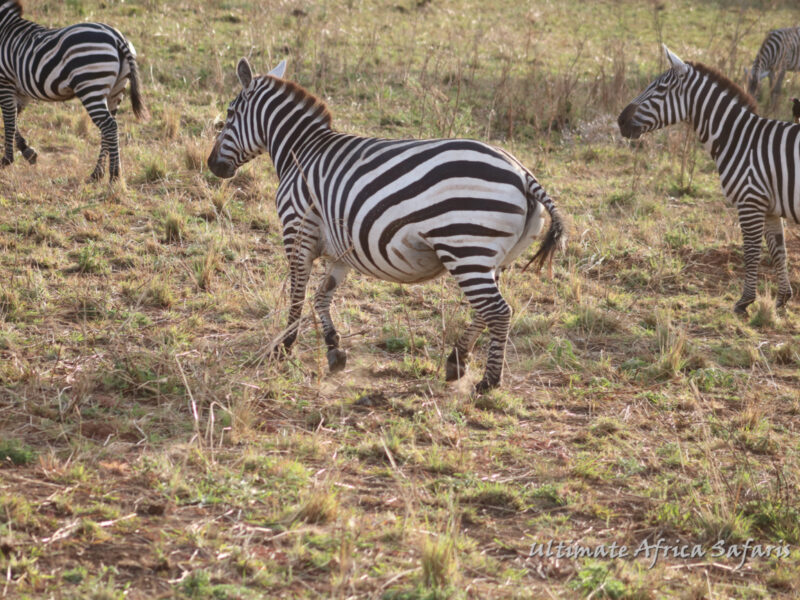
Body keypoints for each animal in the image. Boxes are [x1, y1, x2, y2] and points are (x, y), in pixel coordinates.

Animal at [0, 1, 146, 182]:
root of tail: (117, 37)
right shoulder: (22, 91)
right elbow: (14, 119)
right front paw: (27, 152)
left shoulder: (5, 82)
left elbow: (8, 120)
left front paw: (7, 159)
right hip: (116, 90)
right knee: (110, 126)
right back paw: (97, 173)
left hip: (90, 86)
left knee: (109, 126)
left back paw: (114, 175)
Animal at [209, 58, 564, 392]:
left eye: (229, 114)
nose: (213, 166)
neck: (303, 151)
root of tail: (521, 172)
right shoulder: (342, 248)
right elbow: (322, 296)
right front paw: (334, 349)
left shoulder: (298, 229)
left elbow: (297, 295)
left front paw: (284, 347)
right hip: (496, 258)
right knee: (484, 311)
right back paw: (457, 360)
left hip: (466, 248)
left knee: (498, 311)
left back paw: (488, 382)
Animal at [616, 45, 796, 314]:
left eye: (659, 89)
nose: (620, 121)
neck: (740, 139)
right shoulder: (770, 207)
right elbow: (778, 251)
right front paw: (782, 299)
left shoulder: (750, 201)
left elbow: (751, 252)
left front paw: (745, 301)